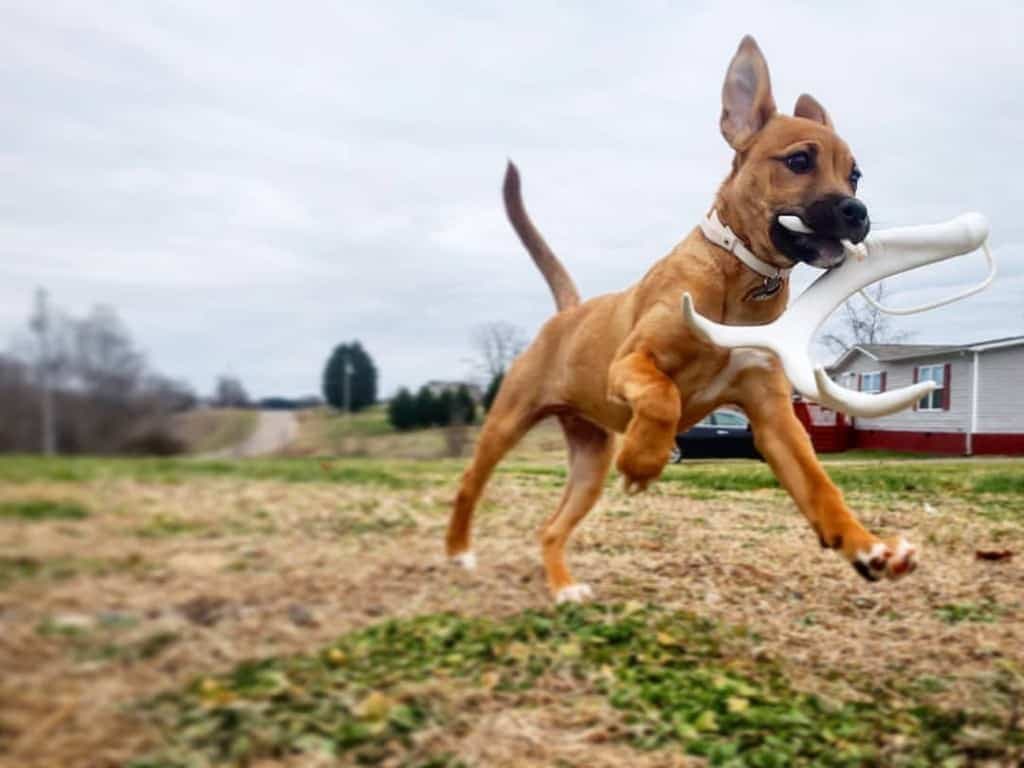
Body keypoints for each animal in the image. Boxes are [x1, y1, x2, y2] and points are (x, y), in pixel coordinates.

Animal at [448, 34, 921, 602]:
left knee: (551, 528)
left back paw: (562, 587)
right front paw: (644, 459)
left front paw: (866, 547)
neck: (741, 280)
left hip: (589, 462)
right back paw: (458, 552)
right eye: (799, 160)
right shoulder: (632, 363)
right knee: (468, 485)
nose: (857, 211)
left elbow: (819, 486)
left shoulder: (773, 417)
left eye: (854, 174)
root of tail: (570, 312)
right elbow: (663, 396)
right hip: (505, 424)